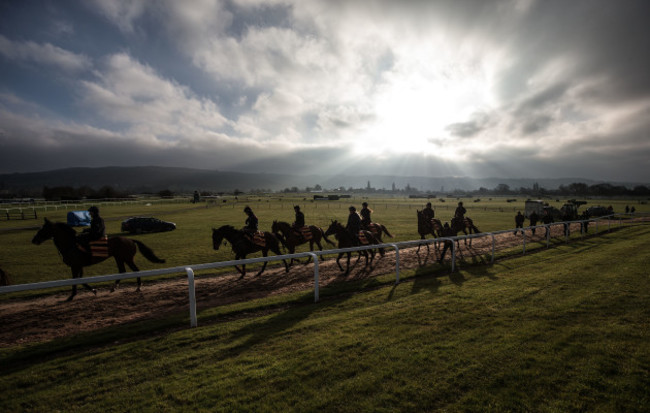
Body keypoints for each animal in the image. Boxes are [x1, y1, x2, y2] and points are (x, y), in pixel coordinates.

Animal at [31, 219, 166, 300]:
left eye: (43, 229)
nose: (34, 240)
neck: (71, 244)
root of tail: (130, 240)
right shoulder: (79, 266)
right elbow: (81, 280)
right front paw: (93, 290)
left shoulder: (75, 266)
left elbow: (76, 280)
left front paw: (72, 296)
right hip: (119, 258)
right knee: (122, 271)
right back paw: (114, 287)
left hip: (126, 258)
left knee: (135, 270)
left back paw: (137, 287)